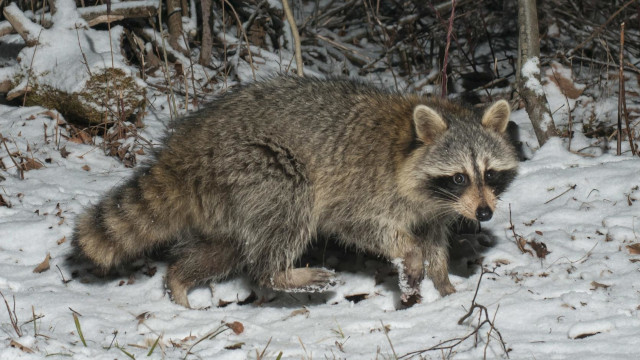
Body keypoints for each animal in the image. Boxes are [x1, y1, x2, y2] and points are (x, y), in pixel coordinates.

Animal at [72, 76, 516, 306]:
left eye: (490, 174)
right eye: (459, 177)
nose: (485, 214)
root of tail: (182, 146)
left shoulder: (436, 209)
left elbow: (434, 240)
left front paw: (444, 285)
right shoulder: (365, 188)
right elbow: (360, 226)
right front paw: (410, 255)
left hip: (225, 199)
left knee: (226, 250)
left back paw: (180, 281)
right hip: (253, 165)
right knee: (288, 208)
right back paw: (280, 274)